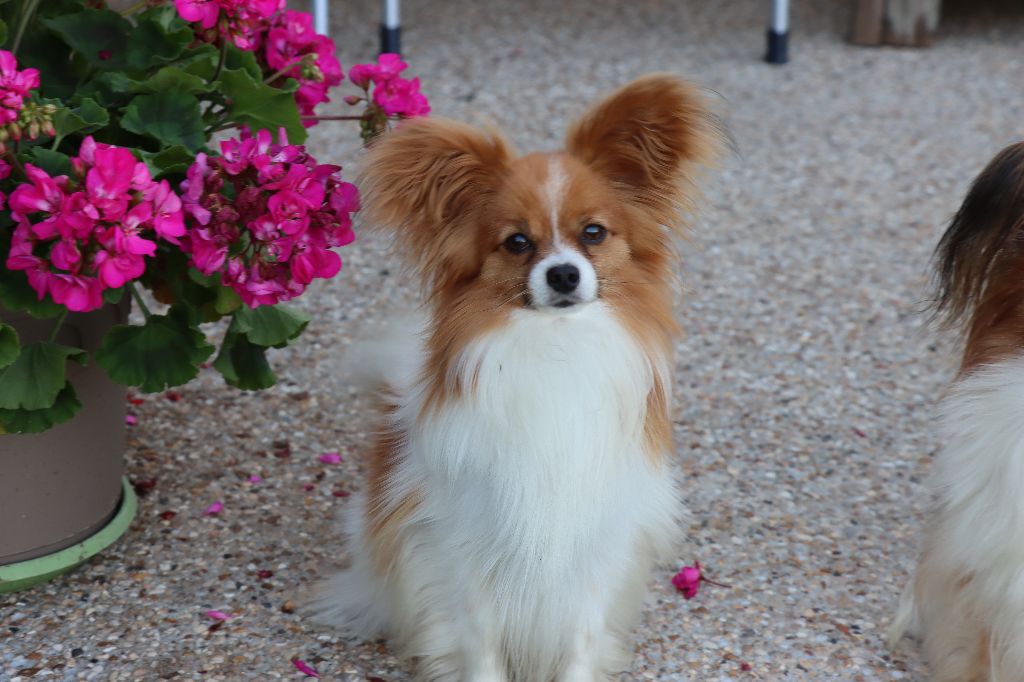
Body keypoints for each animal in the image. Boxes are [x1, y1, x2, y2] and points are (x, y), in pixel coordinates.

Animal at [307, 75, 724, 679]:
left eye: (593, 233)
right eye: (518, 243)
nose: (564, 273)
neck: (556, 347)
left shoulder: (593, 549)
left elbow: (580, 638)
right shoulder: (462, 546)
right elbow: (478, 641)